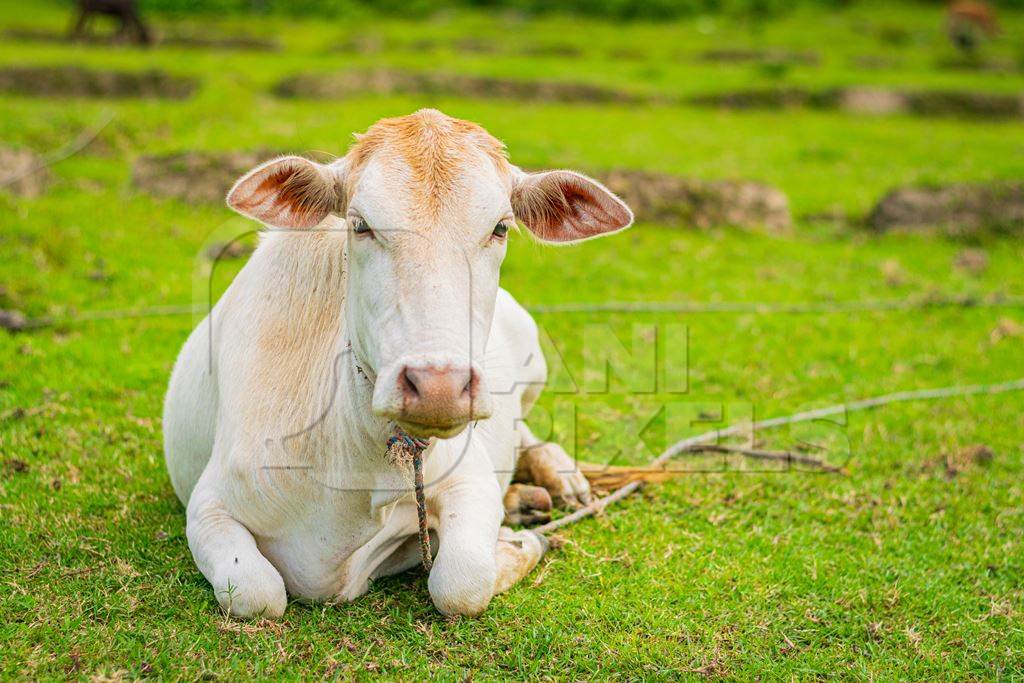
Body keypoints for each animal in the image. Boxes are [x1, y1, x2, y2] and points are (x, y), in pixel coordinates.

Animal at [161, 108, 630, 618]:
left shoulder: (469, 478)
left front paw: (521, 542)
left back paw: (559, 478)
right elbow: (257, 593)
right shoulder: (209, 506)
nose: (439, 387)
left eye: (501, 227)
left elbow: (462, 582)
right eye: (360, 224)